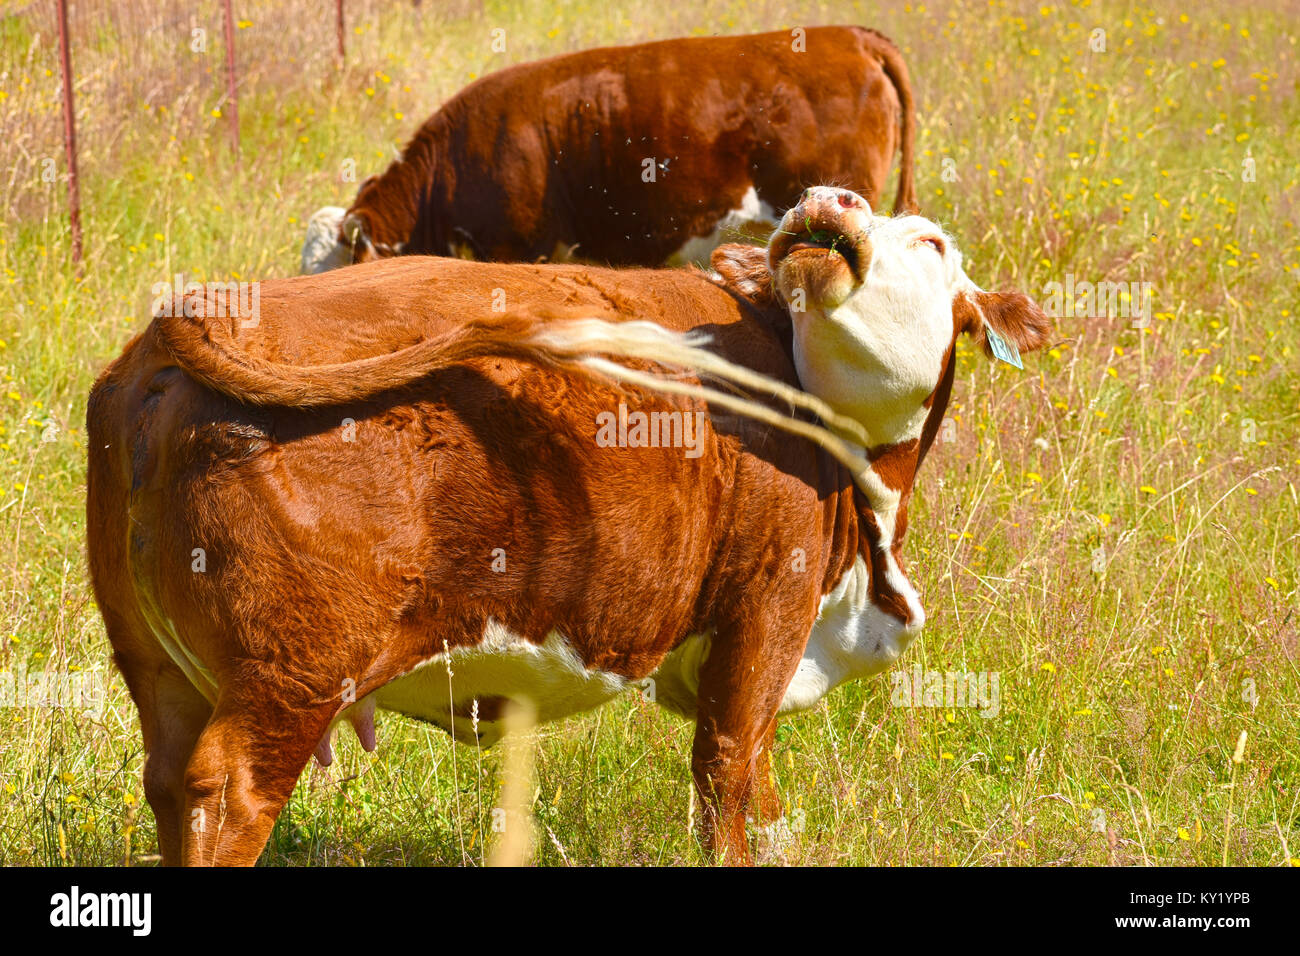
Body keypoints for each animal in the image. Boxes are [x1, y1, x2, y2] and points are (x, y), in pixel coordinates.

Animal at [89, 188, 1045, 868]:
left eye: (930, 242)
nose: (827, 197)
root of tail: (188, 320)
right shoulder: (768, 604)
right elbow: (729, 774)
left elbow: (763, 792)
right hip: (290, 676)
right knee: (228, 794)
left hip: (161, 667)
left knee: (170, 783)